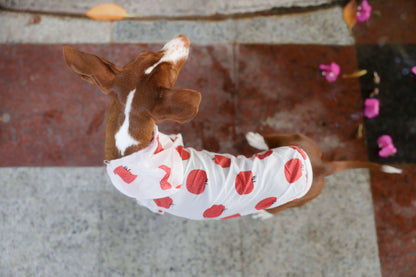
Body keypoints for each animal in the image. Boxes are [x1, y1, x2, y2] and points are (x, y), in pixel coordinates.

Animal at [62, 34, 404, 220]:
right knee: (277, 139)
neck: (133, 149)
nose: (184, 38)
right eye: (145, 53)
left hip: (297, 197)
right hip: (300, 139)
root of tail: (321, 166)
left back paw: (263, 210)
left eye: (167, 69)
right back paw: (257, 138)